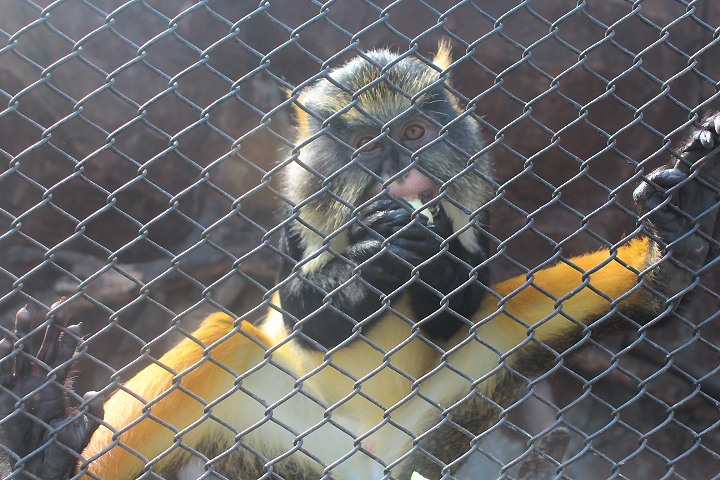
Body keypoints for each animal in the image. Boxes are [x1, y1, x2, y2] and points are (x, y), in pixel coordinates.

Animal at [2, 46, 720, 480]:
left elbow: (459, 308)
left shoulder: (474, 215)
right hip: (274, 424)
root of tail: (371, 454)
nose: (401, 174)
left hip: (451, 399)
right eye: (371, 143)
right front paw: (366, 268)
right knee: (216, 341)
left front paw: (431, 263)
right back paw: (38, 436)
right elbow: (302, 310)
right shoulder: (297, 221)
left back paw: (673, 248)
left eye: (414, 134)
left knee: (522, 311)